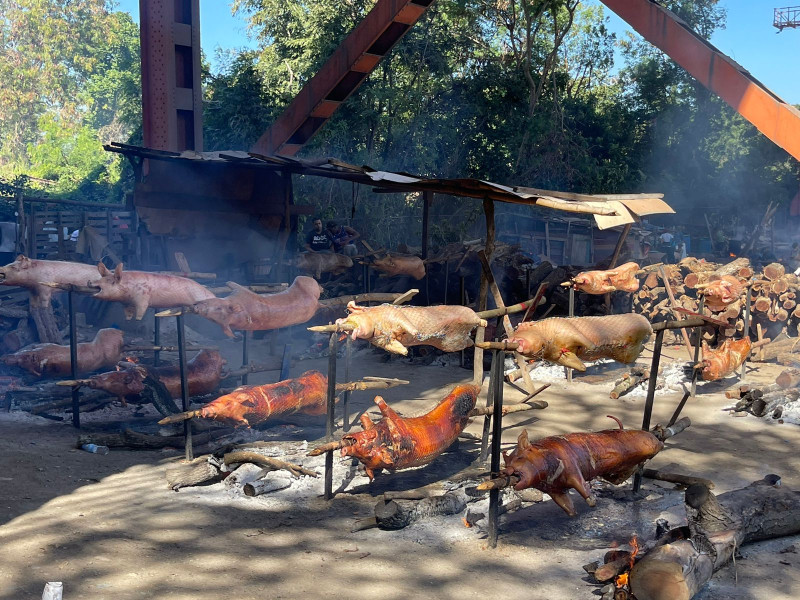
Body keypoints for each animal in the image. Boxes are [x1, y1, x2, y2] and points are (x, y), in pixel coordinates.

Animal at [186, 276, 320, 338]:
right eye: (212, 319)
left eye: (219, 308)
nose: (194, 307)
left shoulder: (243, 293)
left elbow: (236, 285)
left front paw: (228, 282)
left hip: (303, 281)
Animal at [482, 418, 664, 516]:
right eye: (507, 462)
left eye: (520, 457)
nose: (506, 472)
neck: (547, 460)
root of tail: (653, 435)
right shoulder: (554, 489)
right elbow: (566, 505)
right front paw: (573, 512)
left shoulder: (573, 469)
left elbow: (584, 490)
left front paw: (592, 502)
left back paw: (660, 436)